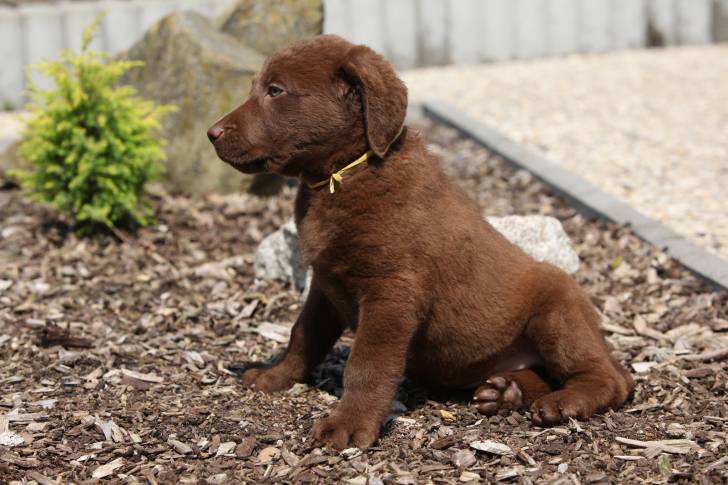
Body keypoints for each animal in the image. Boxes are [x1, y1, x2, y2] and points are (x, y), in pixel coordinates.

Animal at [208, 35, 636, 450]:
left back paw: (563, 402)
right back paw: (506, 392)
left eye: (275, 91)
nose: (212, 133)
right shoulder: (325, 285)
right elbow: (303, 336)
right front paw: (275, 376)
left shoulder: (392, 293)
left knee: (609, 379)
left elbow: (366, 364)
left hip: (558, 311)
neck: (344, 174)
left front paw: (348, 425)